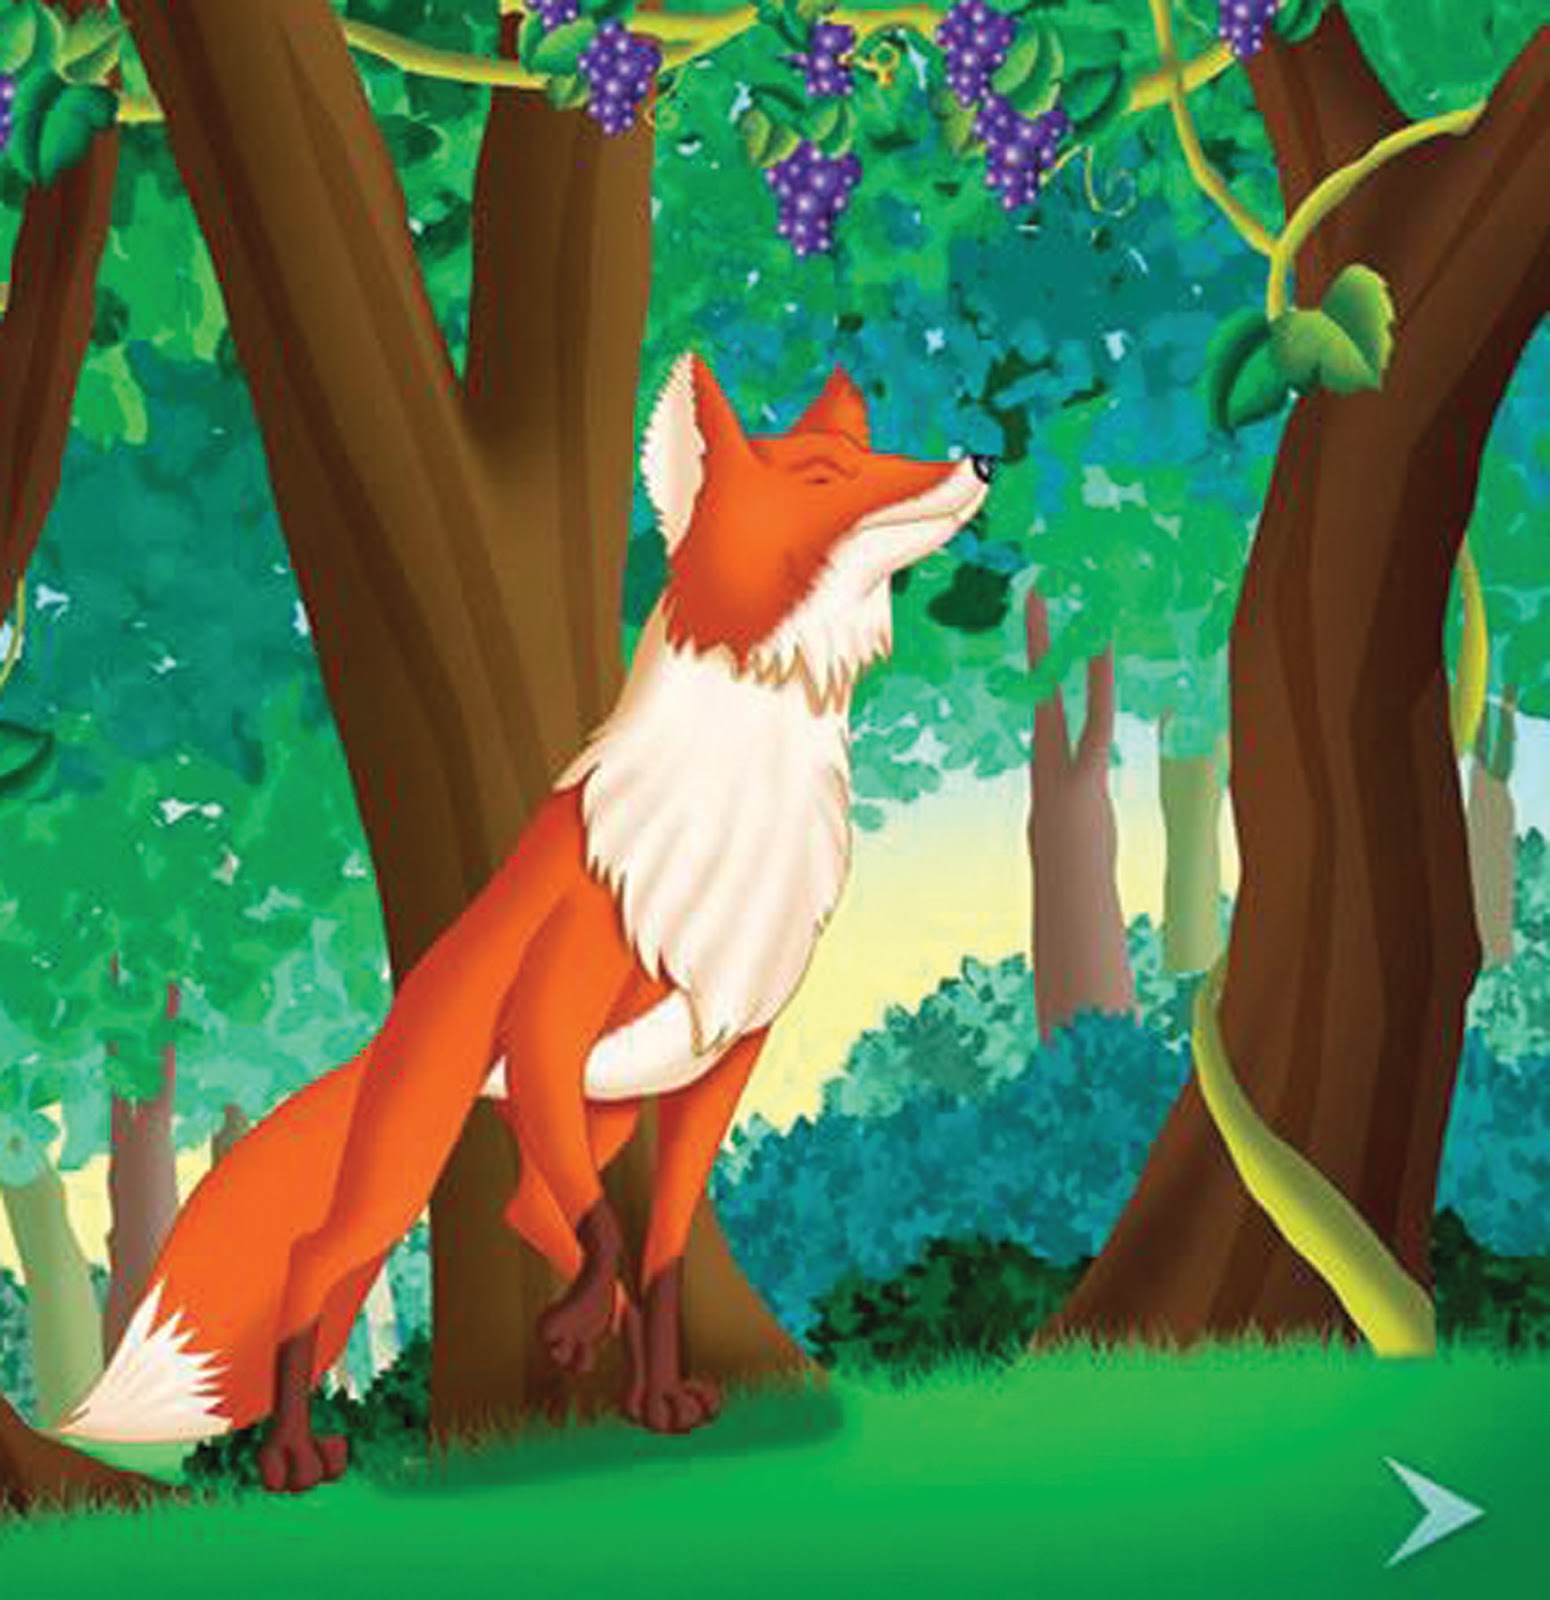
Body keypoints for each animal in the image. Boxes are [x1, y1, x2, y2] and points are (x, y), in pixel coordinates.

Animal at [53, 352, 995, 1492]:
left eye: (867, 451)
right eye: (822, 475)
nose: (980, 461)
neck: (732, 805)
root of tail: (393, 1017)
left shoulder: (723, 1060)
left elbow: (658, 1250)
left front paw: (659, 1394)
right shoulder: (549, 1020)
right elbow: (606, 1231)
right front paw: (587, 1331)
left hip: (601, 1112)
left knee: (525, 1210)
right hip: (417, 1151)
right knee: (323, 1256)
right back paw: (295, 1453)